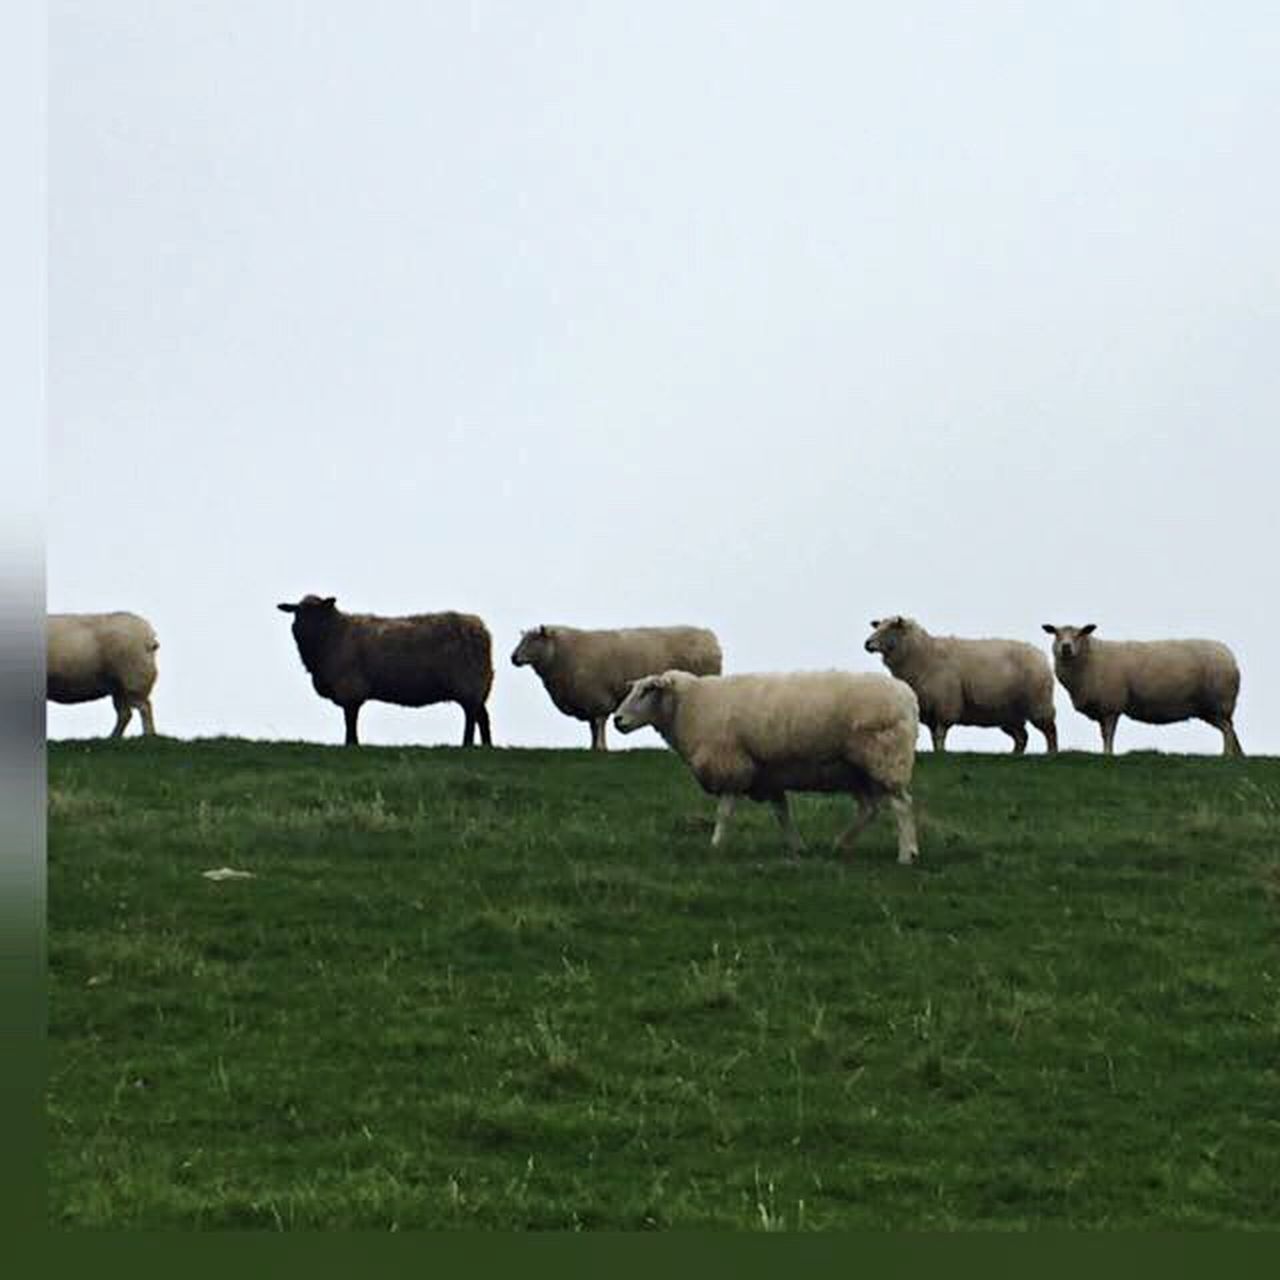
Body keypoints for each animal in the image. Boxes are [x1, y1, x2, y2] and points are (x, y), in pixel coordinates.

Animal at [280, 593, 494, 747]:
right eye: (297, 612)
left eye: (317, 612)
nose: (303, 631)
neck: (333, 634)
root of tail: (481, 629)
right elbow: (351, 719)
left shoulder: (350, 688)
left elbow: (350, 719)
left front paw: (351, 745)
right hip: (477, 686)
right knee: (482, 717)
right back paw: (486, 746)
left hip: (470, 683)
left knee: (472, 715)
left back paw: (467, 745)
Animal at [611, 665, 921, 865]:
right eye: (634, 689)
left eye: (647, 690)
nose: (617, 720)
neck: (690, 704)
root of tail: (909, 697)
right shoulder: (769, 775)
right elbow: (783, 814)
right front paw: (798, 848)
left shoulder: (732, 764)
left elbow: (724, 813)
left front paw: (715, 846)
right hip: (854, 770)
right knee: (869, 809)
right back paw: (841, 844)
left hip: (886, 756)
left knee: (902, 805)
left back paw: (906, 854)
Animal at [860, 616, 1059, 752]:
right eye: (878, 626)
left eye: (889, 629)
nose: (867, 644)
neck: (923, 654)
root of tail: (1039, 654)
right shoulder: (929, 710)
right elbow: (934, 736)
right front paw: (937, 752)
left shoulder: (945, 705)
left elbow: (940, 733)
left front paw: (942, 753)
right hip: (1009, 714)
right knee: (1022, 737)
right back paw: (1014, 755)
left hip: (1039, 704)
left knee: (1050, 731)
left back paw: (1052, 753)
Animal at [1039, 624, 1239, 752]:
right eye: (1056, 634)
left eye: (1079, 634)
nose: (1066, 647)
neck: (1091, 659)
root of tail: (1230, 656)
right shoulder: (1104, 708)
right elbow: (1104, 734)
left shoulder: (1111, 706)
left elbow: (1108, 733)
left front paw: (1108, 754)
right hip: (1209, 709)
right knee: (1229, 729)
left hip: (1219, 703)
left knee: (1228, 730)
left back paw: (1226, 756)